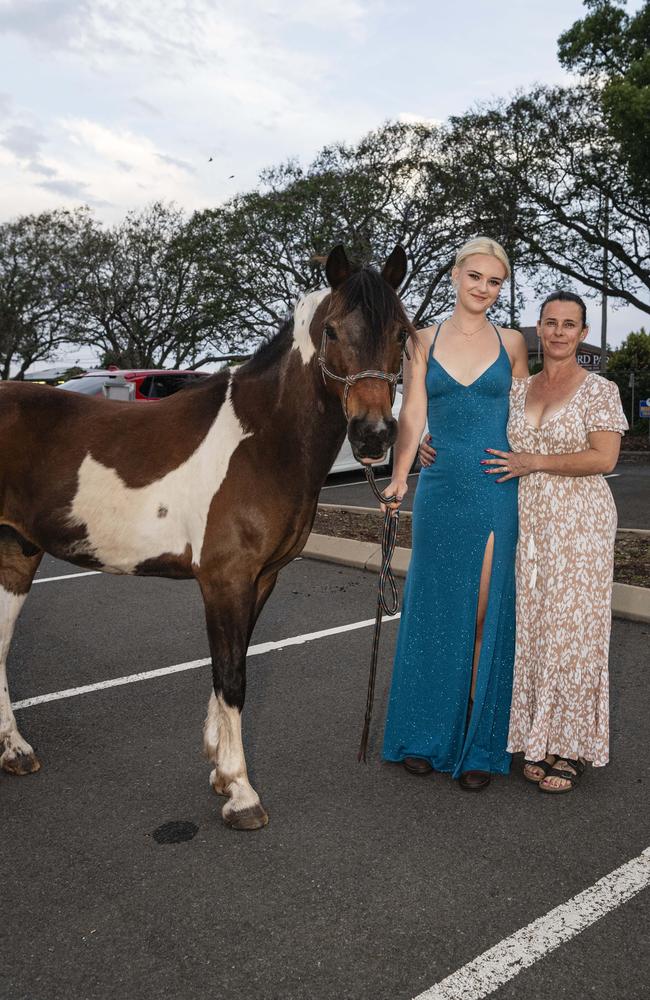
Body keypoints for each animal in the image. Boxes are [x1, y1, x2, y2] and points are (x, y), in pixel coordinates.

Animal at [0, 242, 410, 828]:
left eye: (402, 332)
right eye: (332, 331)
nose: (373, 435)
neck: (262, 440)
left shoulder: (259, 579)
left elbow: (230, 668)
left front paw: (219, 769)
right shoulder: (225, 578)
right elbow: (232, 676)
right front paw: (241, 792)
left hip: (17, 552)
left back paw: (15, 751)